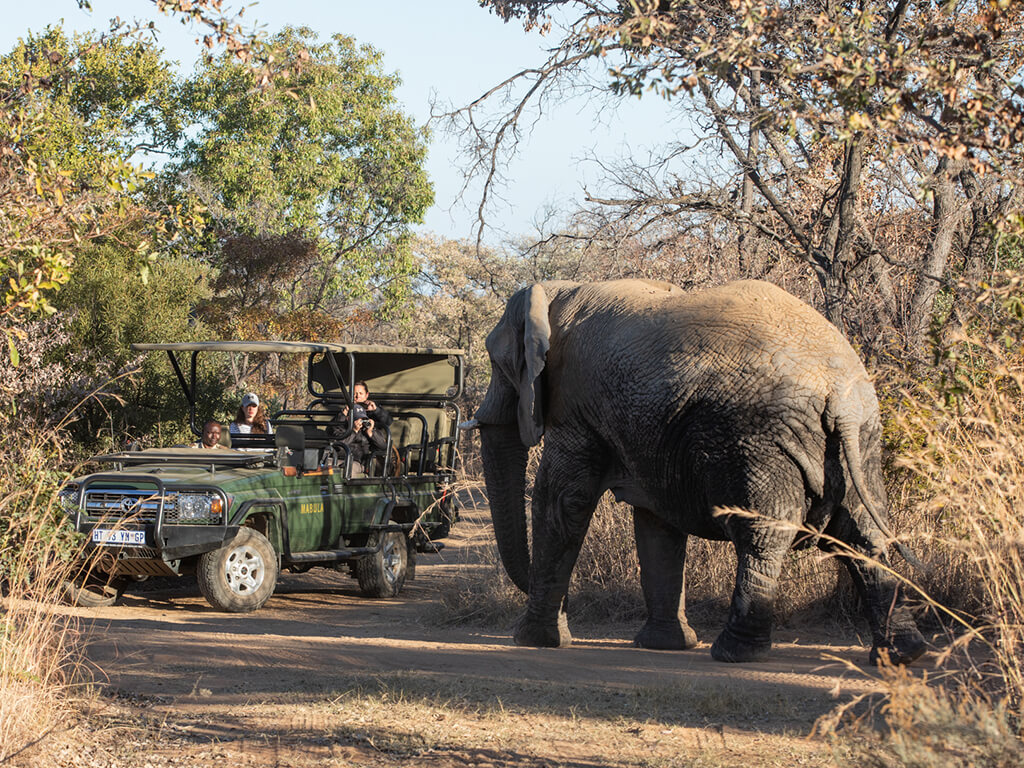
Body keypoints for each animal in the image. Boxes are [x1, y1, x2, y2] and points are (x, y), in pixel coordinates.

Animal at [471, 280, 929, 663]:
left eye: (499, 363)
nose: (572, 606)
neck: (557, 291)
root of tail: (839, 393)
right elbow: (656, 522)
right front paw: (665, 645)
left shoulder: (577, 404)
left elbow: (563, 501)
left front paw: (533, 640)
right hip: (862, 441)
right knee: (864, 536)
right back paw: (901, 655)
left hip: (760, 439)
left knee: (763, 536)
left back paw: (734, 653)